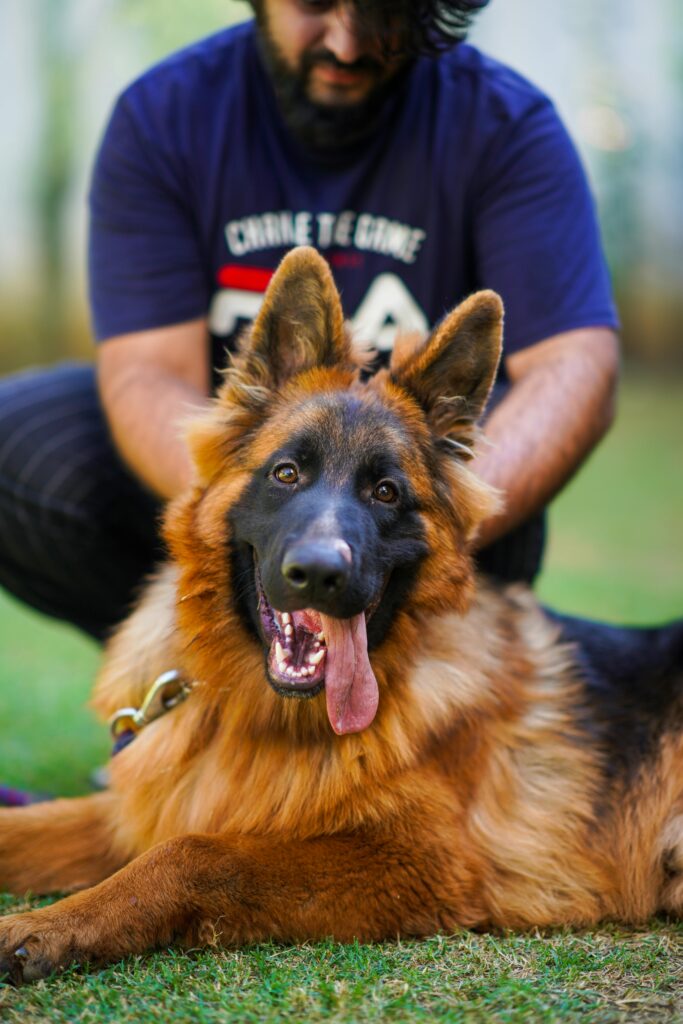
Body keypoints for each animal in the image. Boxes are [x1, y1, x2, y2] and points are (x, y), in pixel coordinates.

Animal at [1, 247, 683, 983]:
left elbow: (195, 854)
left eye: (386, 492)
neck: (255, 713)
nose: (320, 574)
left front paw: (46, 927)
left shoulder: (416, 861)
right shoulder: (141, 806)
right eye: (286, 474)